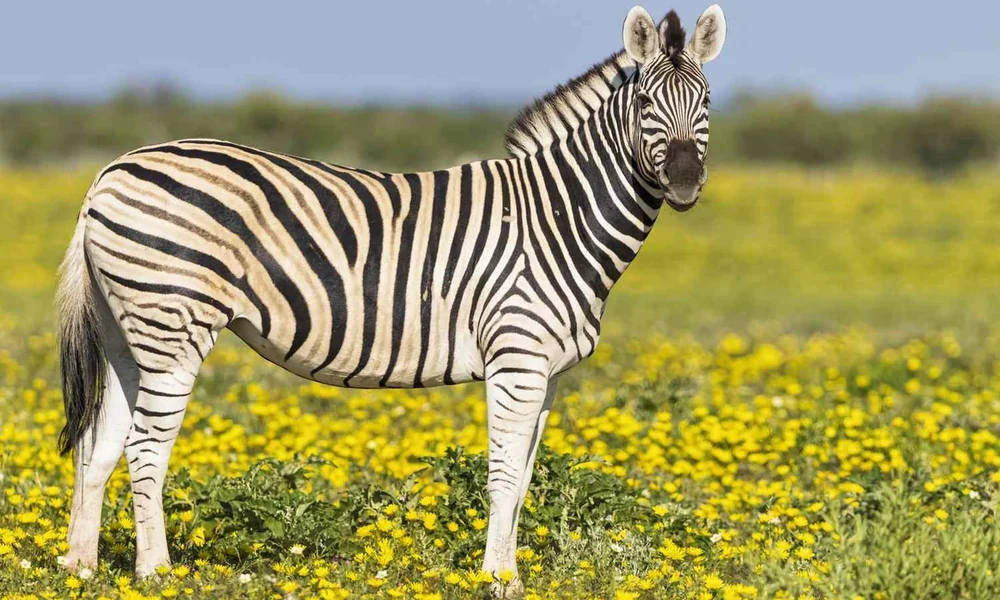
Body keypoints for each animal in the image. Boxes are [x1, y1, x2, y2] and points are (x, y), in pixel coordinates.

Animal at [57, 4, 725, 593]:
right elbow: (504, 474)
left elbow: (525, 477)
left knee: (99, 443)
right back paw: (155, 573)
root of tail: (109, 172)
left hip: (128, 332)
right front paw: (497, 579)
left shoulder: (549, 371)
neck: (556, 218)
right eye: (646, 106)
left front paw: (509, 574)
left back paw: (81, 568)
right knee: (145, 448)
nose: (685, 183)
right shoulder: (517, 357)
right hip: (173, 323)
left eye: (708, 103)